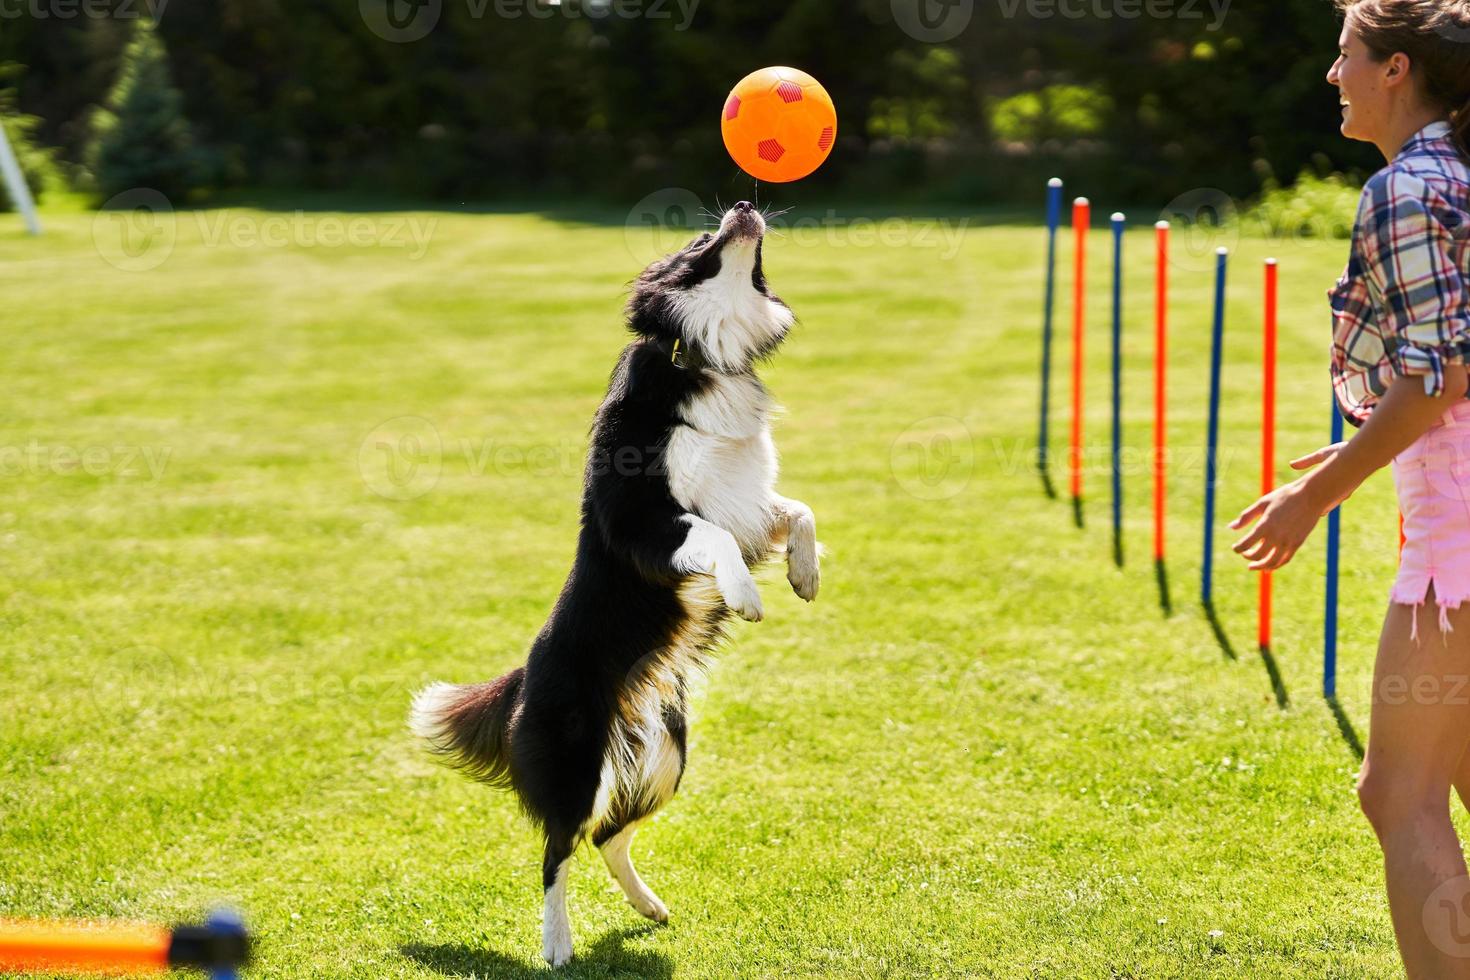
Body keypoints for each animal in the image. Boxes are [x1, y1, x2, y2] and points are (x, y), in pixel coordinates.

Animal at [411, 202, 817, 969]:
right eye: (701, 239)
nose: (746, 205)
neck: (699, 355)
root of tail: (519, 683)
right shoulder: (642, 522)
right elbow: (715, 540)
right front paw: (748, 597)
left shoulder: (748, 503)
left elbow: (797, 511)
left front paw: (805, 575)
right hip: (576, 762)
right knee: (556, 851)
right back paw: (558, 945)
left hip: (665, 751)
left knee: (607, 836)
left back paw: (649, 908)